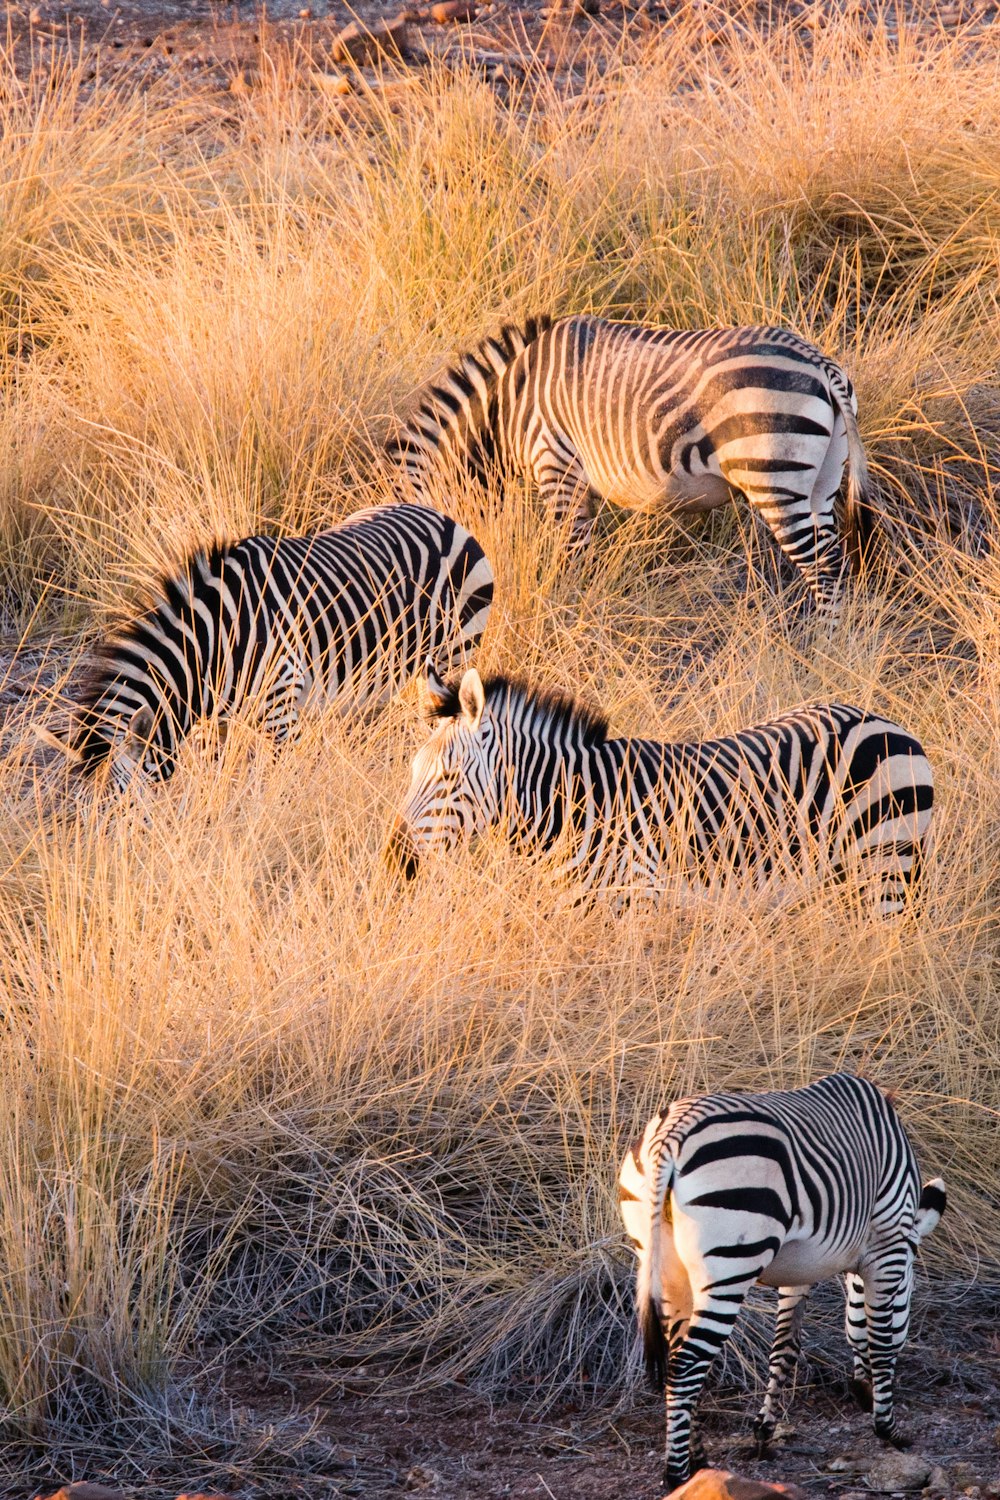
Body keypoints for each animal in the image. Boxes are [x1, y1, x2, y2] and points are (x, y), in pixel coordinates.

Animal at [44, 504, 497, 792]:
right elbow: (223, 770)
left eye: (124, 807)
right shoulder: (225, 720)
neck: (213, 649)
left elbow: (286, 776)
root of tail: (446, 519)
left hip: (455, 650)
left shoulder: (281, 707)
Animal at [386, 313, 869, 624]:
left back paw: (820, 655)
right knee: (835, 561)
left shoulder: (556, 465)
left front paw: (567, 617)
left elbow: (572, 554)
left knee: (822, 567)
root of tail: (821, 364)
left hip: (775, 476)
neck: (506, 406)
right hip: (822, 480)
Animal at [386, 666, 935, 918]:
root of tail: (884, 720)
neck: (577, 806)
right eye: (411, 771)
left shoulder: (637, 903)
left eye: (449, 780)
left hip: (886, 865)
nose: (395, 862)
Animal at [617, 1080, 947, 1488]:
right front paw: (889, 1430)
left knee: (682, 1357)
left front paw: (765, 1430)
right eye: (907, 1291)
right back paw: (677, 1475)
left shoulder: (798, 1269)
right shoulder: (889, 1247)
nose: (861, 1394)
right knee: (686, 1363)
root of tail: (672, 1131)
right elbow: (882, 1340)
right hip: (729, 1264)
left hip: (665, 1266)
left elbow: (784, 1348)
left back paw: (699, 1461)